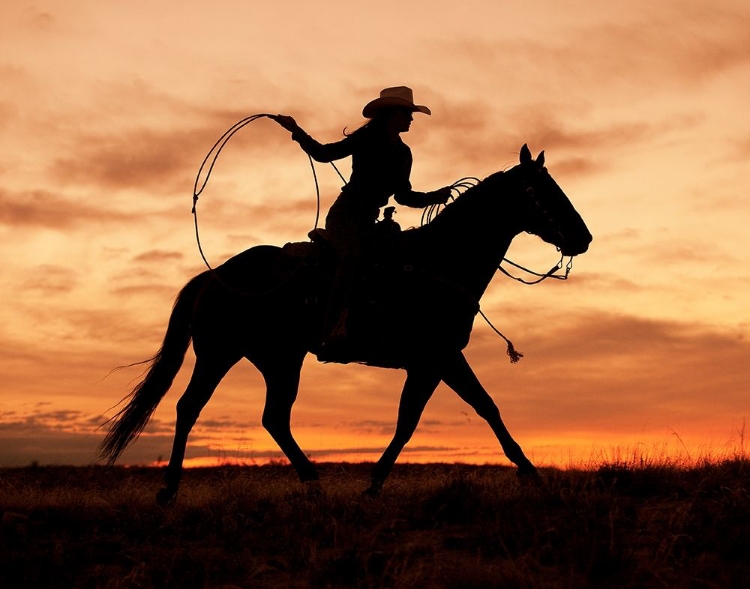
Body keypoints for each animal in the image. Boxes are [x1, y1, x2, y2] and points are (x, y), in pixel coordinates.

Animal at [100, 145, 592, 504]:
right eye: (543, 190)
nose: (583, 238)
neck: (437, 261)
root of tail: (214, 275)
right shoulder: (440, 356)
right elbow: (477, 409)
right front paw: (532, 475)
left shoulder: (430, 363)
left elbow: (419, 419)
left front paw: (374, 484)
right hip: (221, 353)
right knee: (190, 408)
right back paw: (169, 490)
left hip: (278, 359)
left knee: (273, 417)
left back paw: (312, 482)